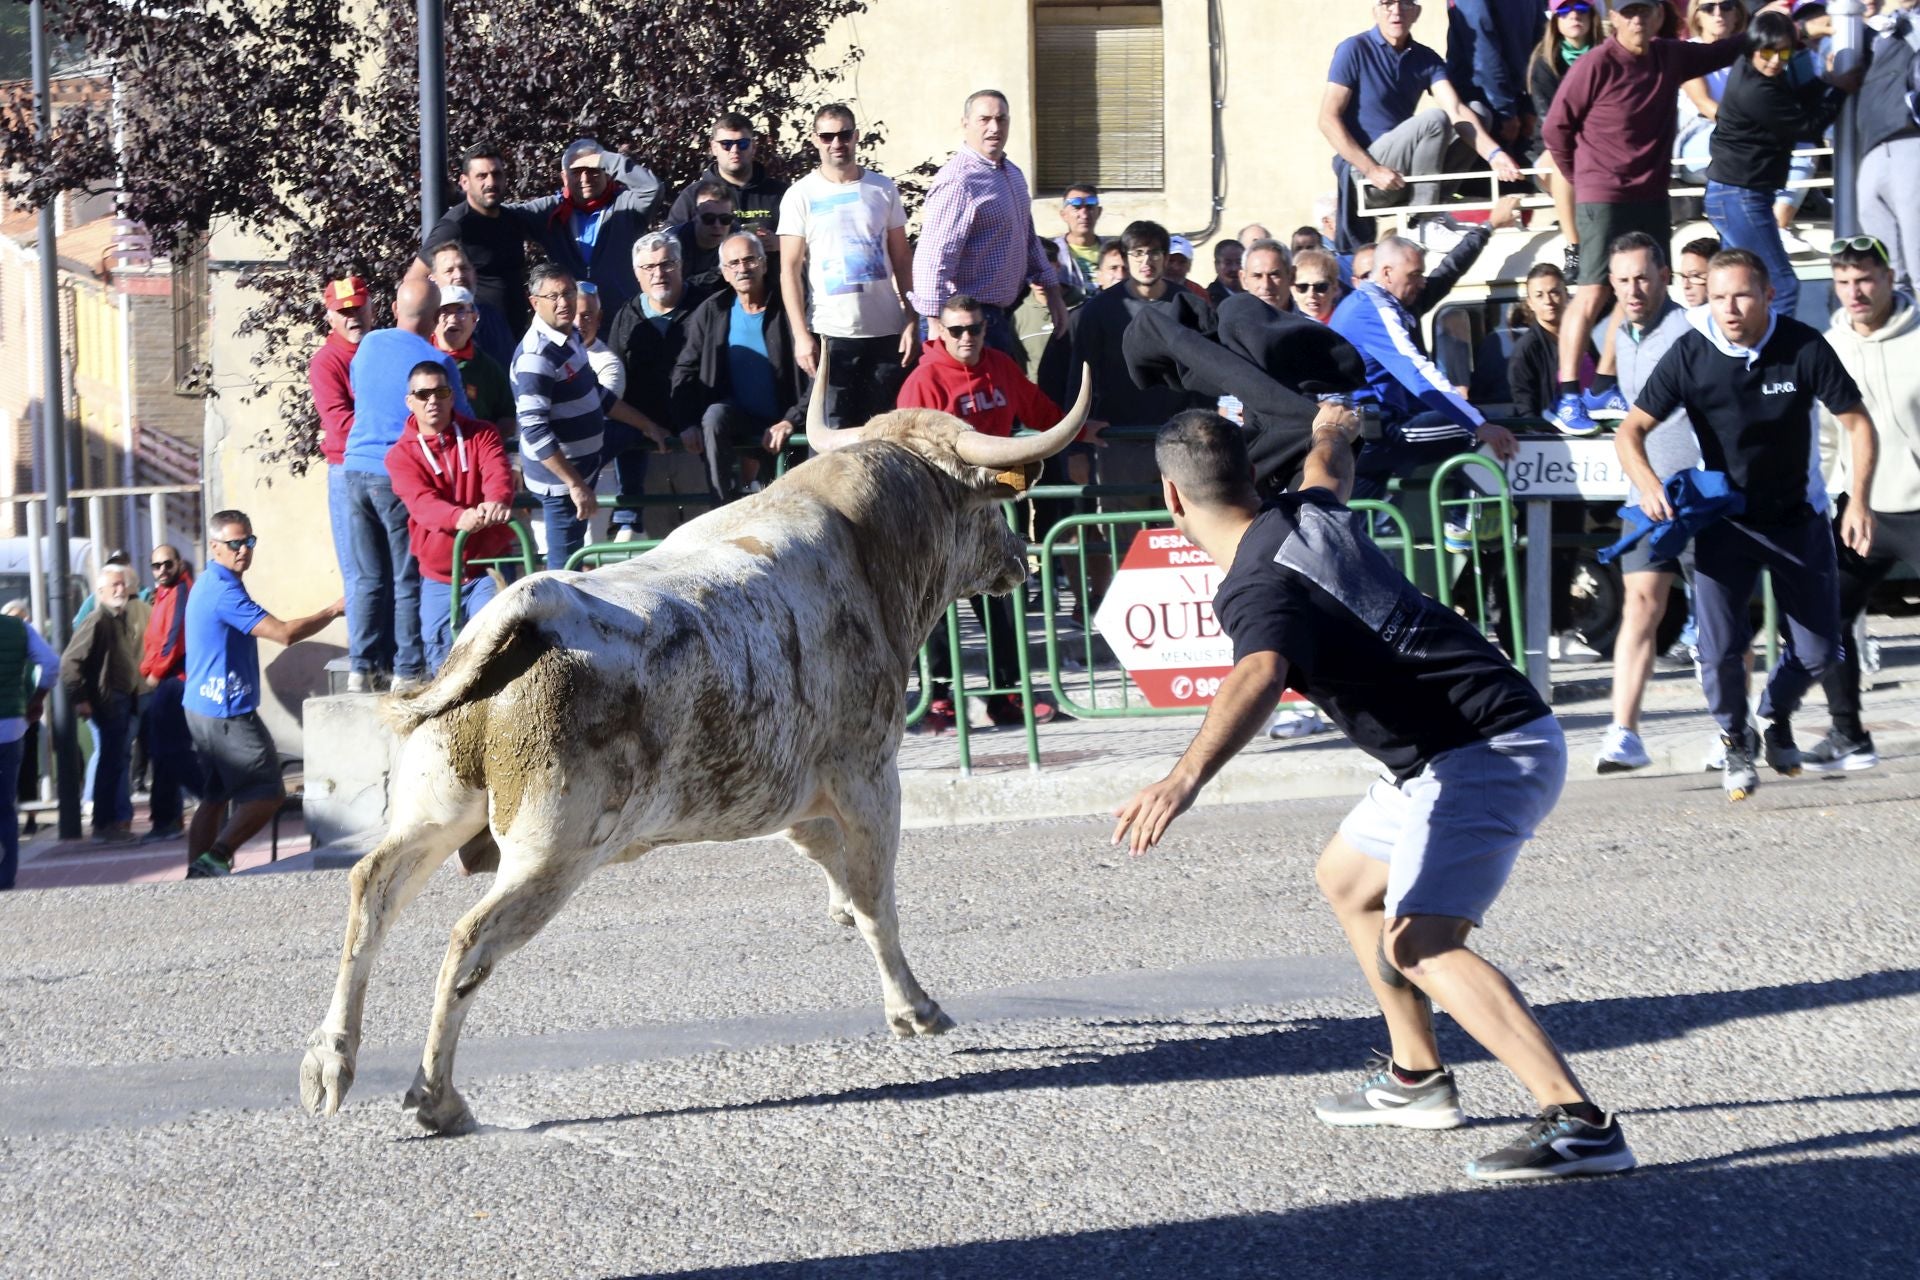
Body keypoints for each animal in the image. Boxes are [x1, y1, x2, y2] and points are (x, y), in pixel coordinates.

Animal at [293, 351, 1090, 1128]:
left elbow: (839, 874)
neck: (867, 554)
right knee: (468, 941)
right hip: (551, 854)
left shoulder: (794, 799)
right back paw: (437, 1095)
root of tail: (529, 604)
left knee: (373, 890)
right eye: (992, 507)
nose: (1022, 555)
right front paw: (914, 1007)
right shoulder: (868, 776)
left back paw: (330, 1062)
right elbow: (876, 898)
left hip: (437, 809)